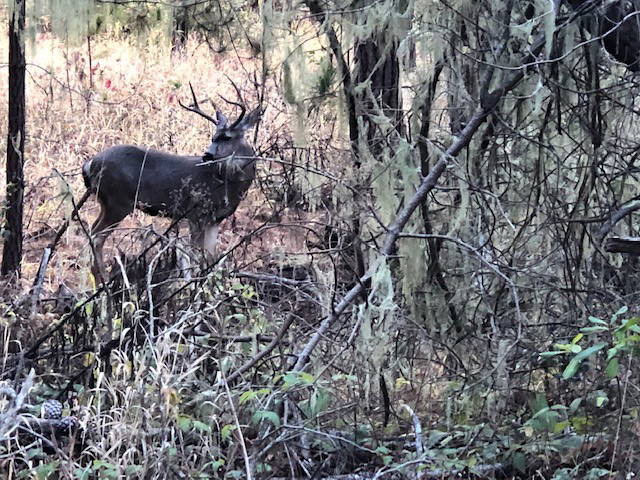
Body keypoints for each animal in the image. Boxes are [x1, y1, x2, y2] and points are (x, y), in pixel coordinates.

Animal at [83, 82, 262, 278]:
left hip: (106, 201)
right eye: (213, 137)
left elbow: (210, 256)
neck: (226, 185)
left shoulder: (216, 219)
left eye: (227, 137)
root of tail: (90, 163)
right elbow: (195, 255)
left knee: (92, 231)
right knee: (96, 237)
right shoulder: (196, 212)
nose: (207, 154)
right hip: (118, 201)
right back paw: (102, 279)